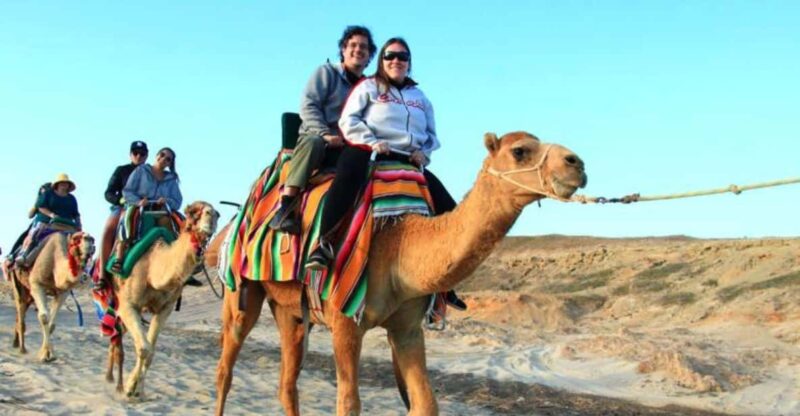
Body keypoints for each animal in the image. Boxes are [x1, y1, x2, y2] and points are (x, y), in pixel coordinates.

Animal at [9, 231, 95, 362]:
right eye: (76, 239)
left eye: (92, 239)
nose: (90, 241)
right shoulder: (37, 284)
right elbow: (44, 317)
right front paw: (44, 355)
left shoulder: (63, 292)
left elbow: (52, 324)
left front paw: (49, 353)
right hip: (17, 282)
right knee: (20, 308)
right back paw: (22, 349)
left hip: (29, 294)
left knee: (21, 311)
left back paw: (15, 343)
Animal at [104, 201, 219, 397]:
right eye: (192, 212)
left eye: (217, 213)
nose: (212, 215)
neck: (152, 269)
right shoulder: (128, 305)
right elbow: (144, 348)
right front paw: (130, 389)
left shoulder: (165, 308)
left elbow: (150, 350)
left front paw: (137, 389)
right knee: (115, 333)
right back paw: (112, 379)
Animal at [212, 132, 587, 415]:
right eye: (519, 150)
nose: (577, 164)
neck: (398, 240)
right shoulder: (344, 320)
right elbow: (348, 404)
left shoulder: (407, 328)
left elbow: (425, 404)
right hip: (240, 290)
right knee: (225, 368)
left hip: (289, 310)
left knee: (287, 384)